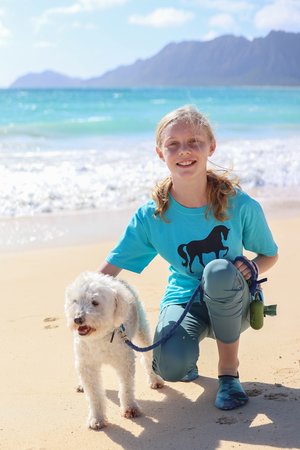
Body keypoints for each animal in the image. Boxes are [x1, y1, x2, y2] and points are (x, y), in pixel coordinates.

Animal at [64, 270, 164, 428]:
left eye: (95, 302)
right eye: (75, 301)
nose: (77, 319)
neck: (100, 337)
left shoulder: (125, 361)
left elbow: (126, 388)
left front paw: (130, 408)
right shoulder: (86, 365)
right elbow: (94, 395)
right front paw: (97, 418)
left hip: (142, 331)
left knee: (148, 358)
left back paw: (154, 379)